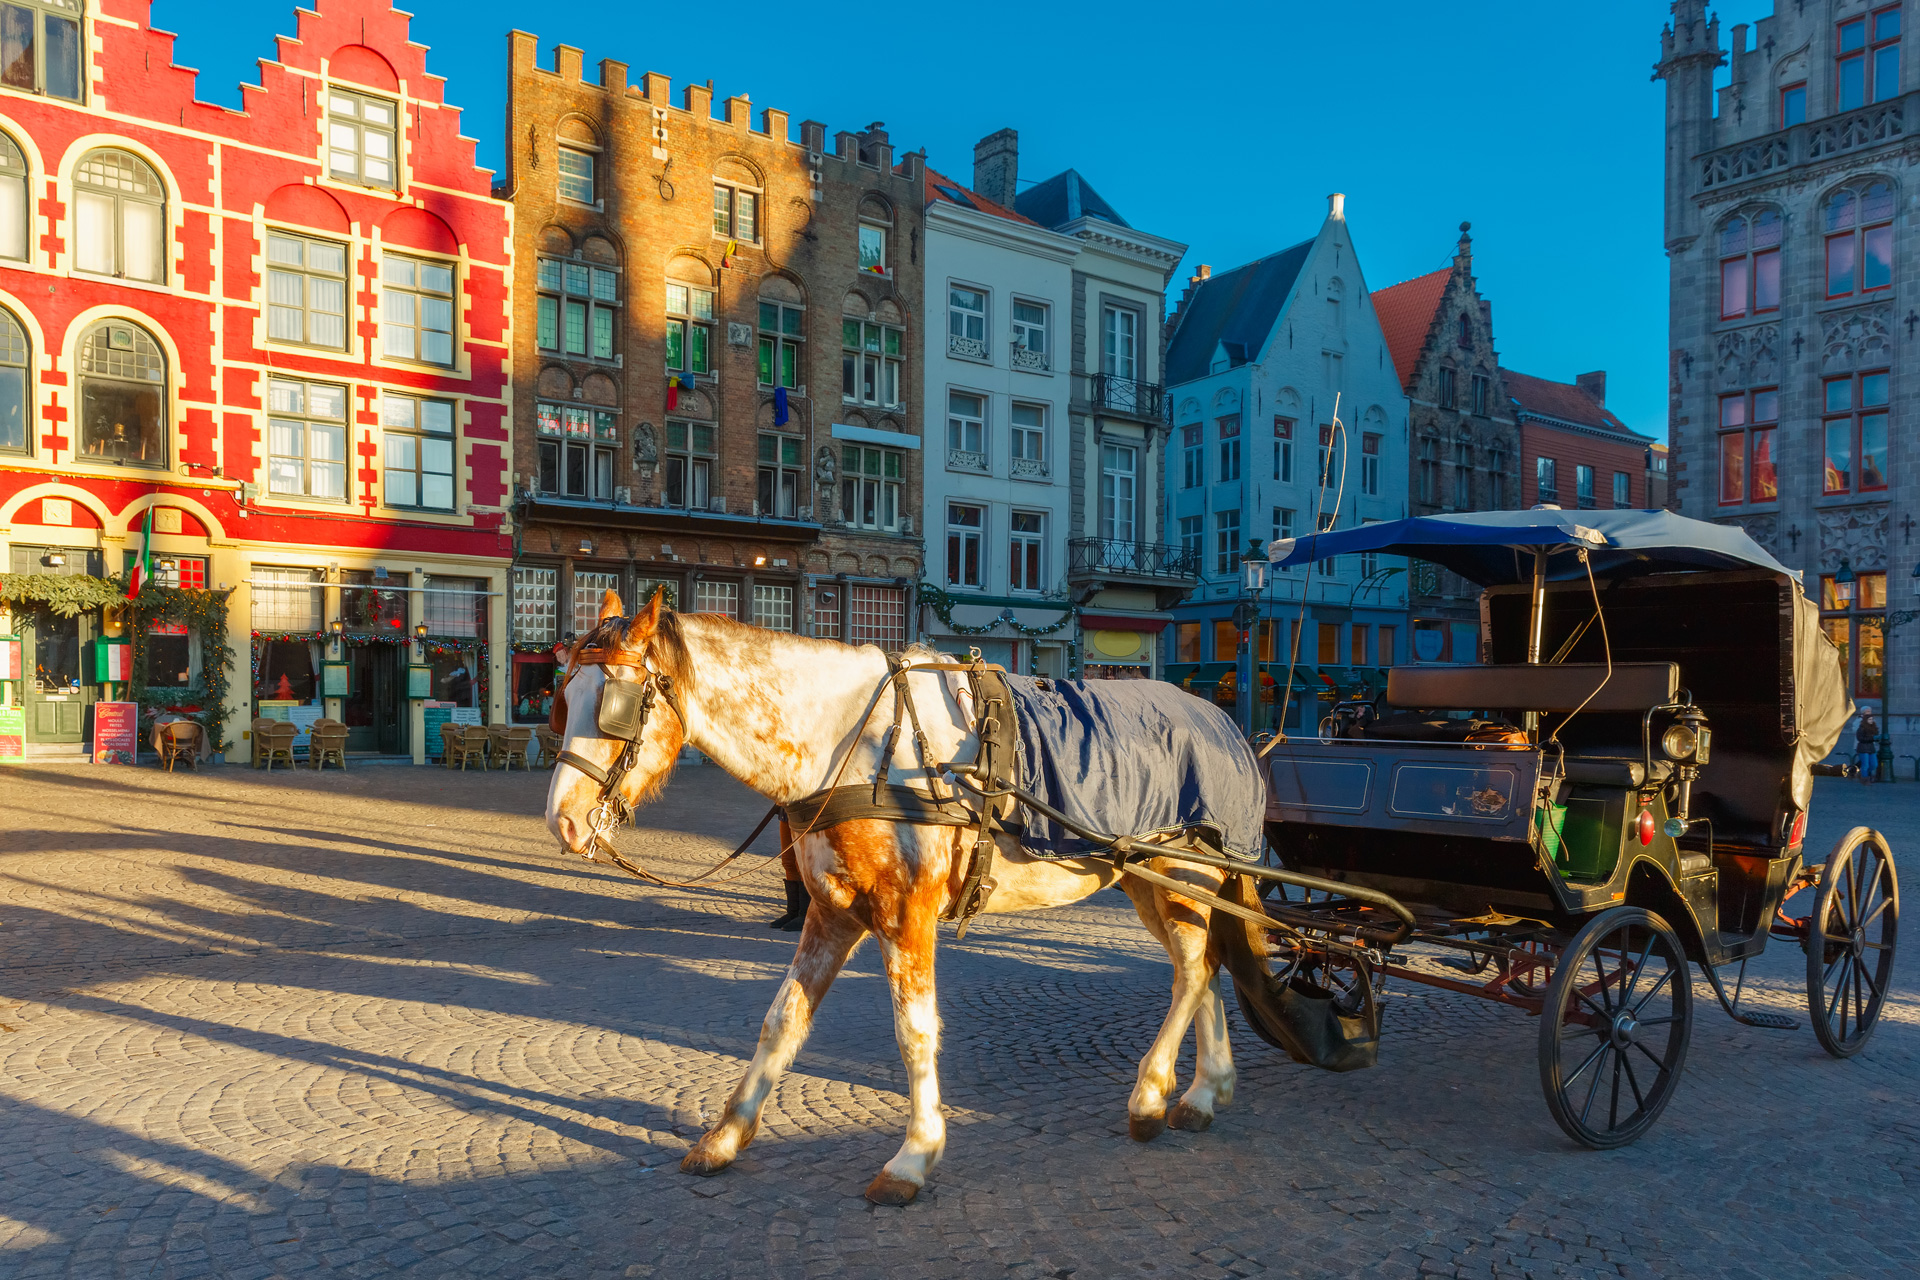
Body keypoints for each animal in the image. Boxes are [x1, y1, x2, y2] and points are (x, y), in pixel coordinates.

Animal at [549, 594, 1251, 1212]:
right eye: (561, 702)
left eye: (614, 705)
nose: (563, 820)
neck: (854, 747)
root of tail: (1224, 722)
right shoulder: (831, 914)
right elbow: (782, 1020)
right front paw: (725, 1136)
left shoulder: (905, 916)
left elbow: (914, 1032)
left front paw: (914, 1156)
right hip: (1154, 885)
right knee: (1205, 968)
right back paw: (1203, 1093)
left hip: (1179, 872)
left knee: (1192, 973)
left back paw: (1150, 1097)